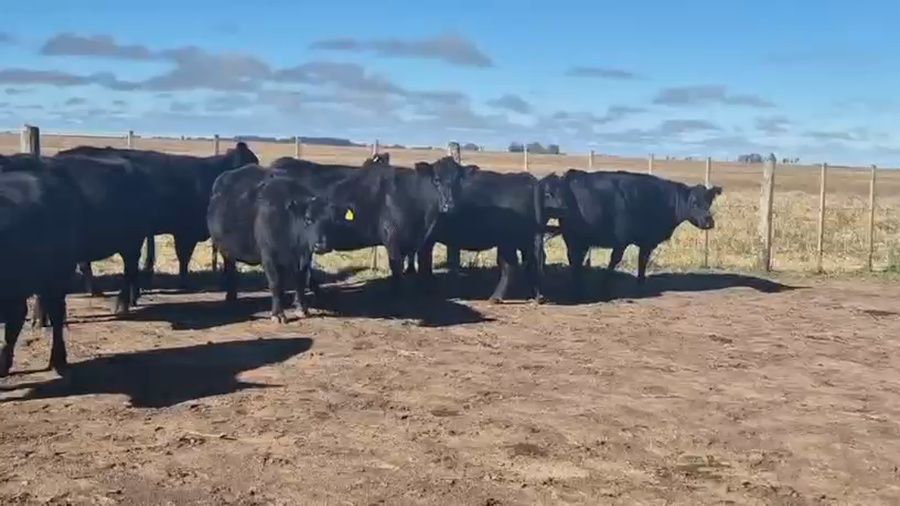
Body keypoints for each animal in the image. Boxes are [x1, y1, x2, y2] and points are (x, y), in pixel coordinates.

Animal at [206, 164, 355, 322]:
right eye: (308, 219)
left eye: (331, 221)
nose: (321, 246)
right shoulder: (269, 257)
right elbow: (276, 283)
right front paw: (278, 314)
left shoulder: (304, 257)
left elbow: (300, 280)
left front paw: (302, 308)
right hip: (226, 251)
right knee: (231, 271)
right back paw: (231, 296)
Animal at [409, 169, 567, 303]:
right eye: (550, 194)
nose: (563, 208)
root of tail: (524, 178)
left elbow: (423, 261)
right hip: (522, 241)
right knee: (532, 261)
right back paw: (536, 295)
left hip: (510, 241)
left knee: (513, 266)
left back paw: (497, 297)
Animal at [545, 169, 723, 300]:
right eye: (694, 203)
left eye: (709, 202)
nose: (709, 222)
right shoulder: (625, 241)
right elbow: (618, 261)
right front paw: (609, 285)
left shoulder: (644, 241)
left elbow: (641, 262)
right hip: (575, 238)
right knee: (575, 261)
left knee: (575, 260)